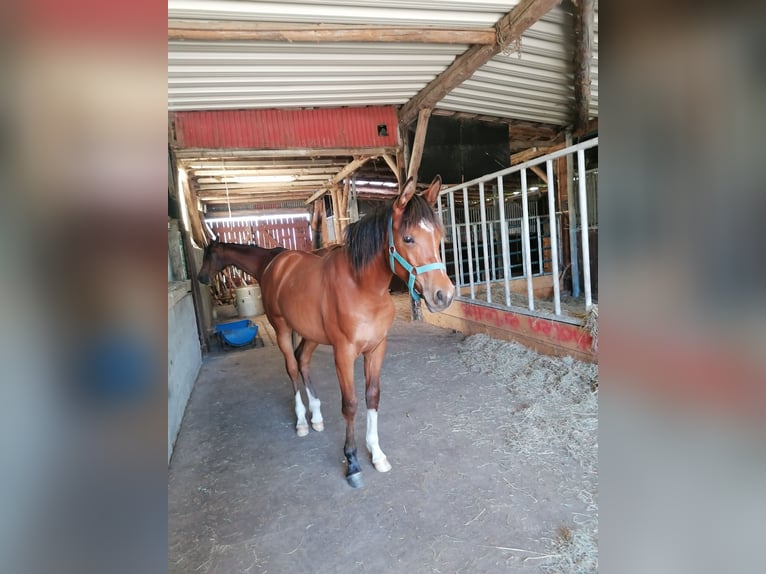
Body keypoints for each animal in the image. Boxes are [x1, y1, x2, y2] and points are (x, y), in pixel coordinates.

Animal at [259, 175, 454, 488]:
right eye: (408, 238)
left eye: (439, 237)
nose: (443, 296)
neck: (362, 287)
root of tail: (279, 262)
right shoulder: (343, 353)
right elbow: (349, 404)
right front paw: (352, 462)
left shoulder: (376, 348)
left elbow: (372, 396)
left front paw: (376, 453)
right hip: (281, 329)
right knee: (291, 367)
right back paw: (302, 421)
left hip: (310, 335)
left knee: (303, 360)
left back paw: (316, 417)